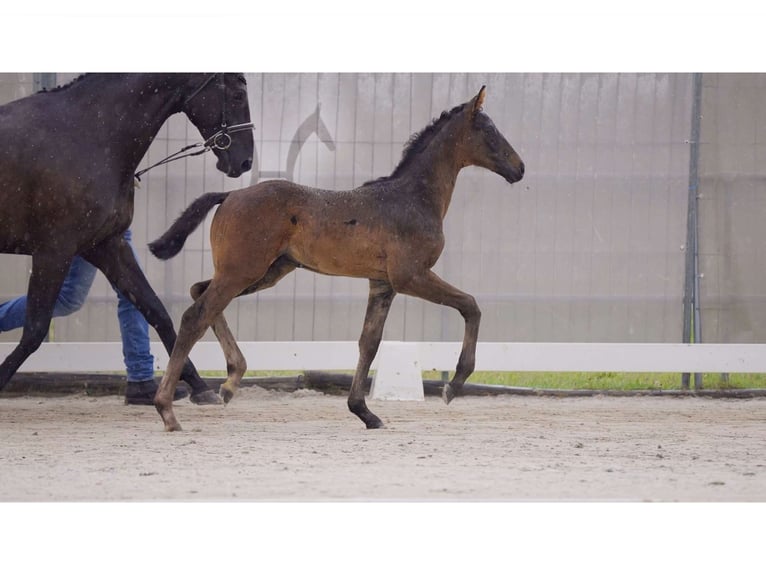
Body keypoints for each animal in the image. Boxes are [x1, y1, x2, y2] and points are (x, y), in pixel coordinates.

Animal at [0, 73, 255, 404]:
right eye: (237, 95)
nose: (245, 161)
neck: (88, 133)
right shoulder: (53, 251)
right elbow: (34, 330)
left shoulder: (107, 245)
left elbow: (156, 310)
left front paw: (198, 386)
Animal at [149, 84, 524, 428]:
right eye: (489, 132)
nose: (519, 168)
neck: (414, 197)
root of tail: (228, 195)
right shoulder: (410, 276)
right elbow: (470, 305)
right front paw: (453, 386)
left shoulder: (382, 284)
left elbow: (369, 343)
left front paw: (365, 412)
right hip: (243, 271)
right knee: (195, 316)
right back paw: (168, 409)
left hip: (263, 272)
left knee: (200, 293)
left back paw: (230, 381)